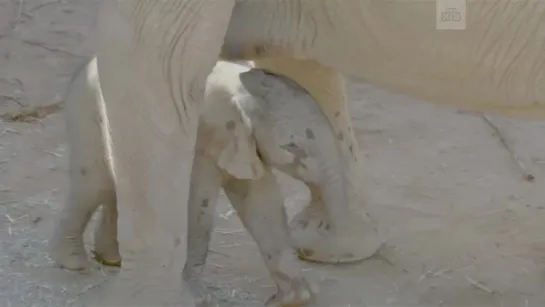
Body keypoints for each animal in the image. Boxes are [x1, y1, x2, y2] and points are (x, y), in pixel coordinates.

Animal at [52, 60, 348, 307]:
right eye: (292, 146)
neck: (242, 87)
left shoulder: (246, 145)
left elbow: (262, 203)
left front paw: (293, 299)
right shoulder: (204, 140)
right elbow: (198, 206)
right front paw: (195, 297)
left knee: (116, 191)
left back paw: (111, 259)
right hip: (86, 116)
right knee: (93, 185)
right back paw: (75, 265)